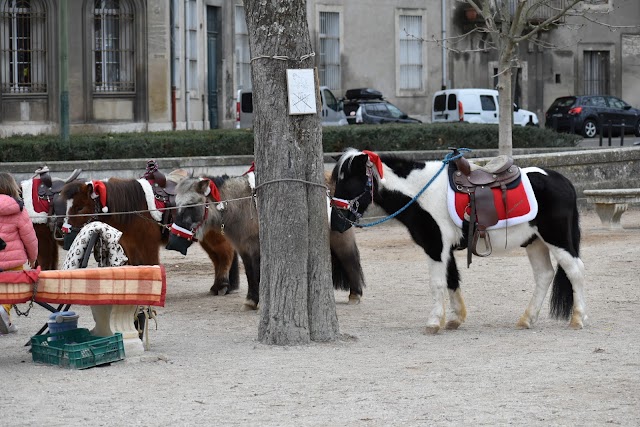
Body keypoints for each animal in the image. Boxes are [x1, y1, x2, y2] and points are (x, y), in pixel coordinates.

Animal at [332, 148, 588, 334]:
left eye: (349, 182)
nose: (337, 223)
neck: (421, 193)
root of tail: (564, 181)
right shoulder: (446, 250)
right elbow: (452, 280)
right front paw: (455, 319)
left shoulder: (435, 247)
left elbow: (437, 283)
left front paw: (434, 322)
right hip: (535, 242)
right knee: (544, 275)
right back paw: (527, 319)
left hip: (556, 239)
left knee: (575, 270)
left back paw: (577, 318)